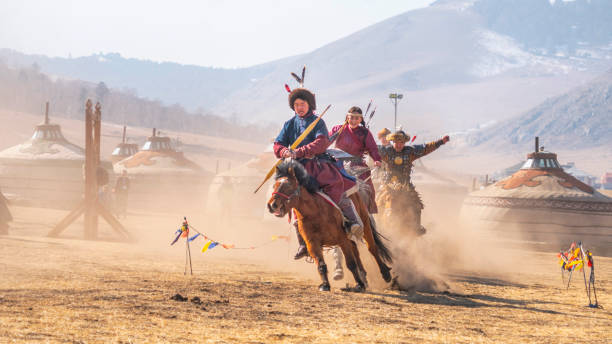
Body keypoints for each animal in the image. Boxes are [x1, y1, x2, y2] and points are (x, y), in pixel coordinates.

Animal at [266, 159, 392, 290]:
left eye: (288, 185)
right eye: (275, 185)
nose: (272, 205)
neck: (315, 213)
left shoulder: (342, 240)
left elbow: (351, 263)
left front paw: (359, 284)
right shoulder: (313, 244)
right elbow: (321, 265)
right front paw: (325, 285)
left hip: (365, 224)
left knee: (372, 248)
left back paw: (385, 274)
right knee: (355, 249)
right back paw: (363, 276)